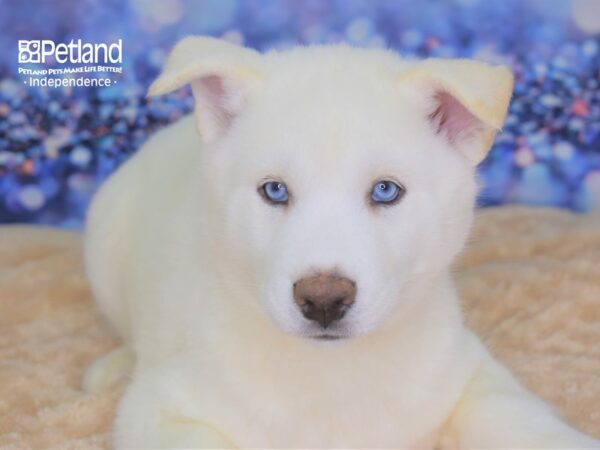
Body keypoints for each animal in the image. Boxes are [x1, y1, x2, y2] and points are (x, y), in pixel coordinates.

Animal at [82, 37, 596, 448]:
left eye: (386, 190)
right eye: (274, 190)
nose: (324, 299)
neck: (333, 372)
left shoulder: (469, 377)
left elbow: (523, 423)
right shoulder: (159, 408)